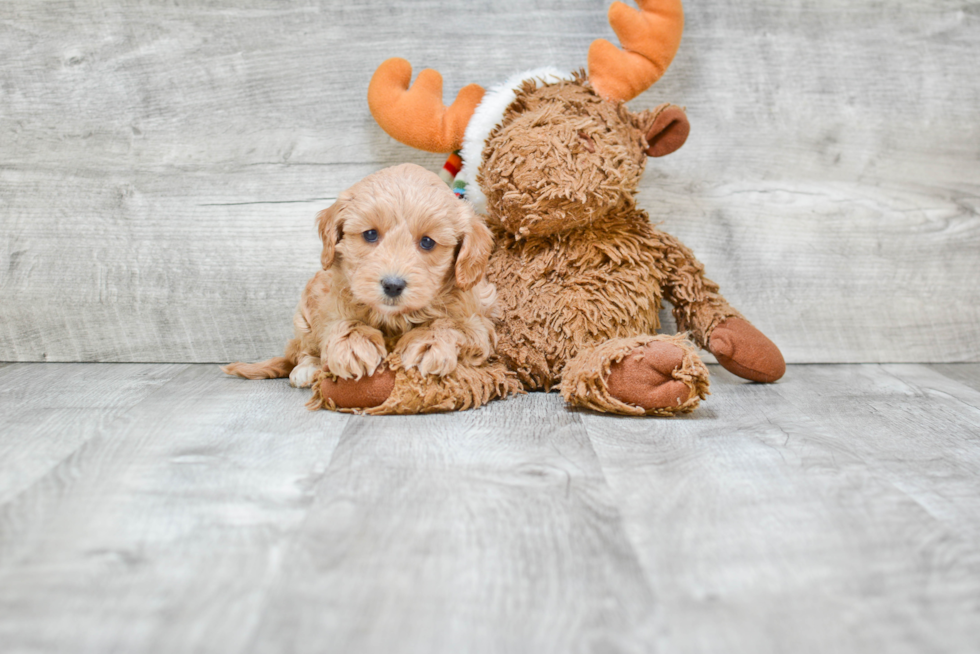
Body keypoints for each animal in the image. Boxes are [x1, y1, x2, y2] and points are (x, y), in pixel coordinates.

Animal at [223, 165, 498, 394]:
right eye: (370, 234)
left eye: (428, 242)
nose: (392, 285)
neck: (395, 318)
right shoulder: (330, 300)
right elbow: (343, 321)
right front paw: (353, 345)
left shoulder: (480, 322)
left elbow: (451, 324)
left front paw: (428, 342)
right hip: (305, 313)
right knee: (302, 349)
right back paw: (307, 368)